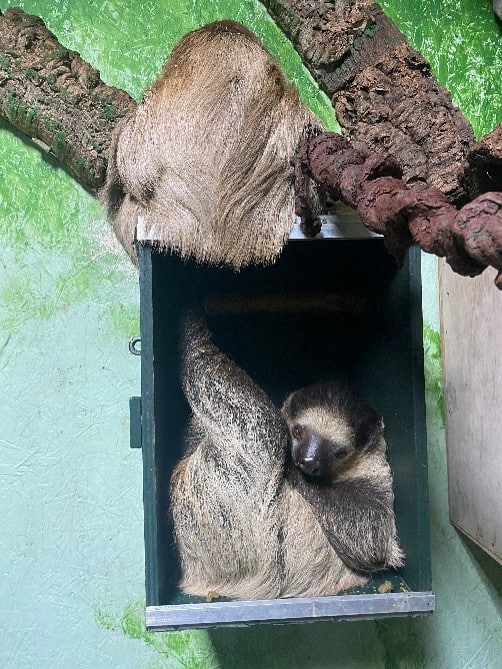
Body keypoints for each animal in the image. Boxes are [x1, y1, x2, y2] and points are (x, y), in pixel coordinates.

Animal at [170, 313, 404, 601]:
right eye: (299, 431)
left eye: (339, 452)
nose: (308, 460)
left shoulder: (377, 484)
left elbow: (371, 536)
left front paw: (292, 470)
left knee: (259, 421)